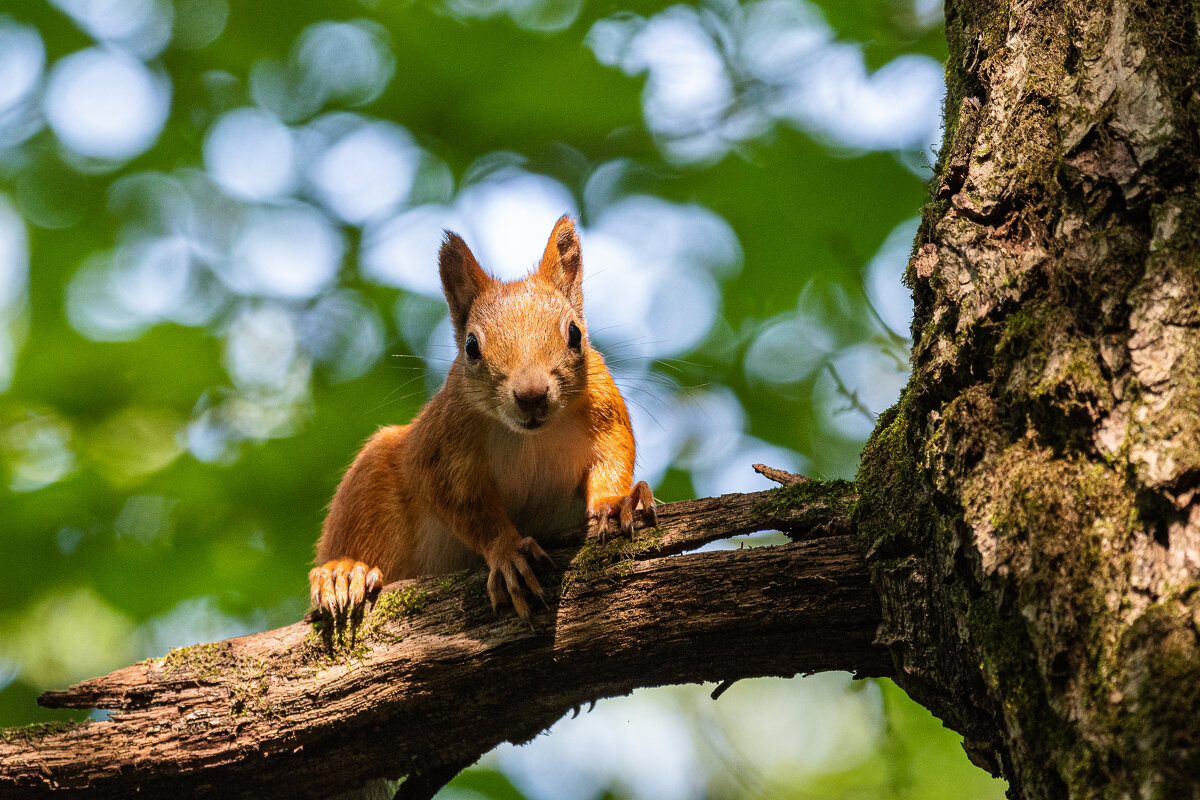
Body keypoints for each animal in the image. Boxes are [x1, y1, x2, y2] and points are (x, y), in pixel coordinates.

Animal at [304, 217, 652, 618]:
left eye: (575, 333)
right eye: (471, 346)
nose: (532, 395)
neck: (530, 436)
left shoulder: (603, 407)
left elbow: (612, 456)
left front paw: (618, 501)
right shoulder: (443, 445)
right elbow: (464, 505)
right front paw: (507, 550)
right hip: (369, 482)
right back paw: (344, 573)